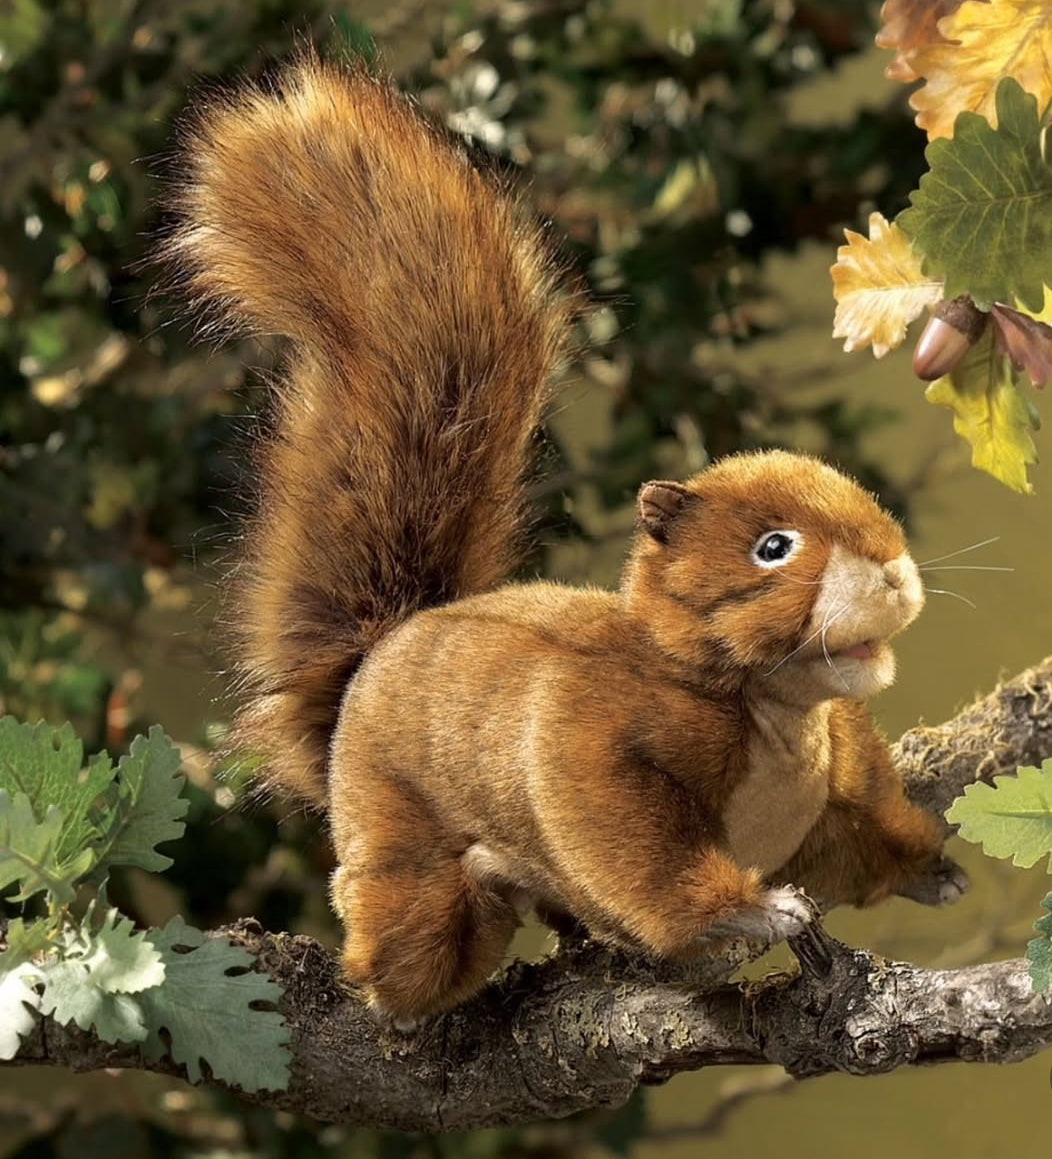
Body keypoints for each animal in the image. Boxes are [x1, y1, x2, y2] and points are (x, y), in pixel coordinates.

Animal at [170, 56, 968, 1022]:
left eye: (864, 495)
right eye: (772, 546)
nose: (891, 571)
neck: (778, 714)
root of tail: (374, 653)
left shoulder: (842, 779)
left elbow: (866, 839)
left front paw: (933, 868)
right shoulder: (599, 736)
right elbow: (630, 846)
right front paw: (750, 913)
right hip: (393, 836)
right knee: (404, 952)